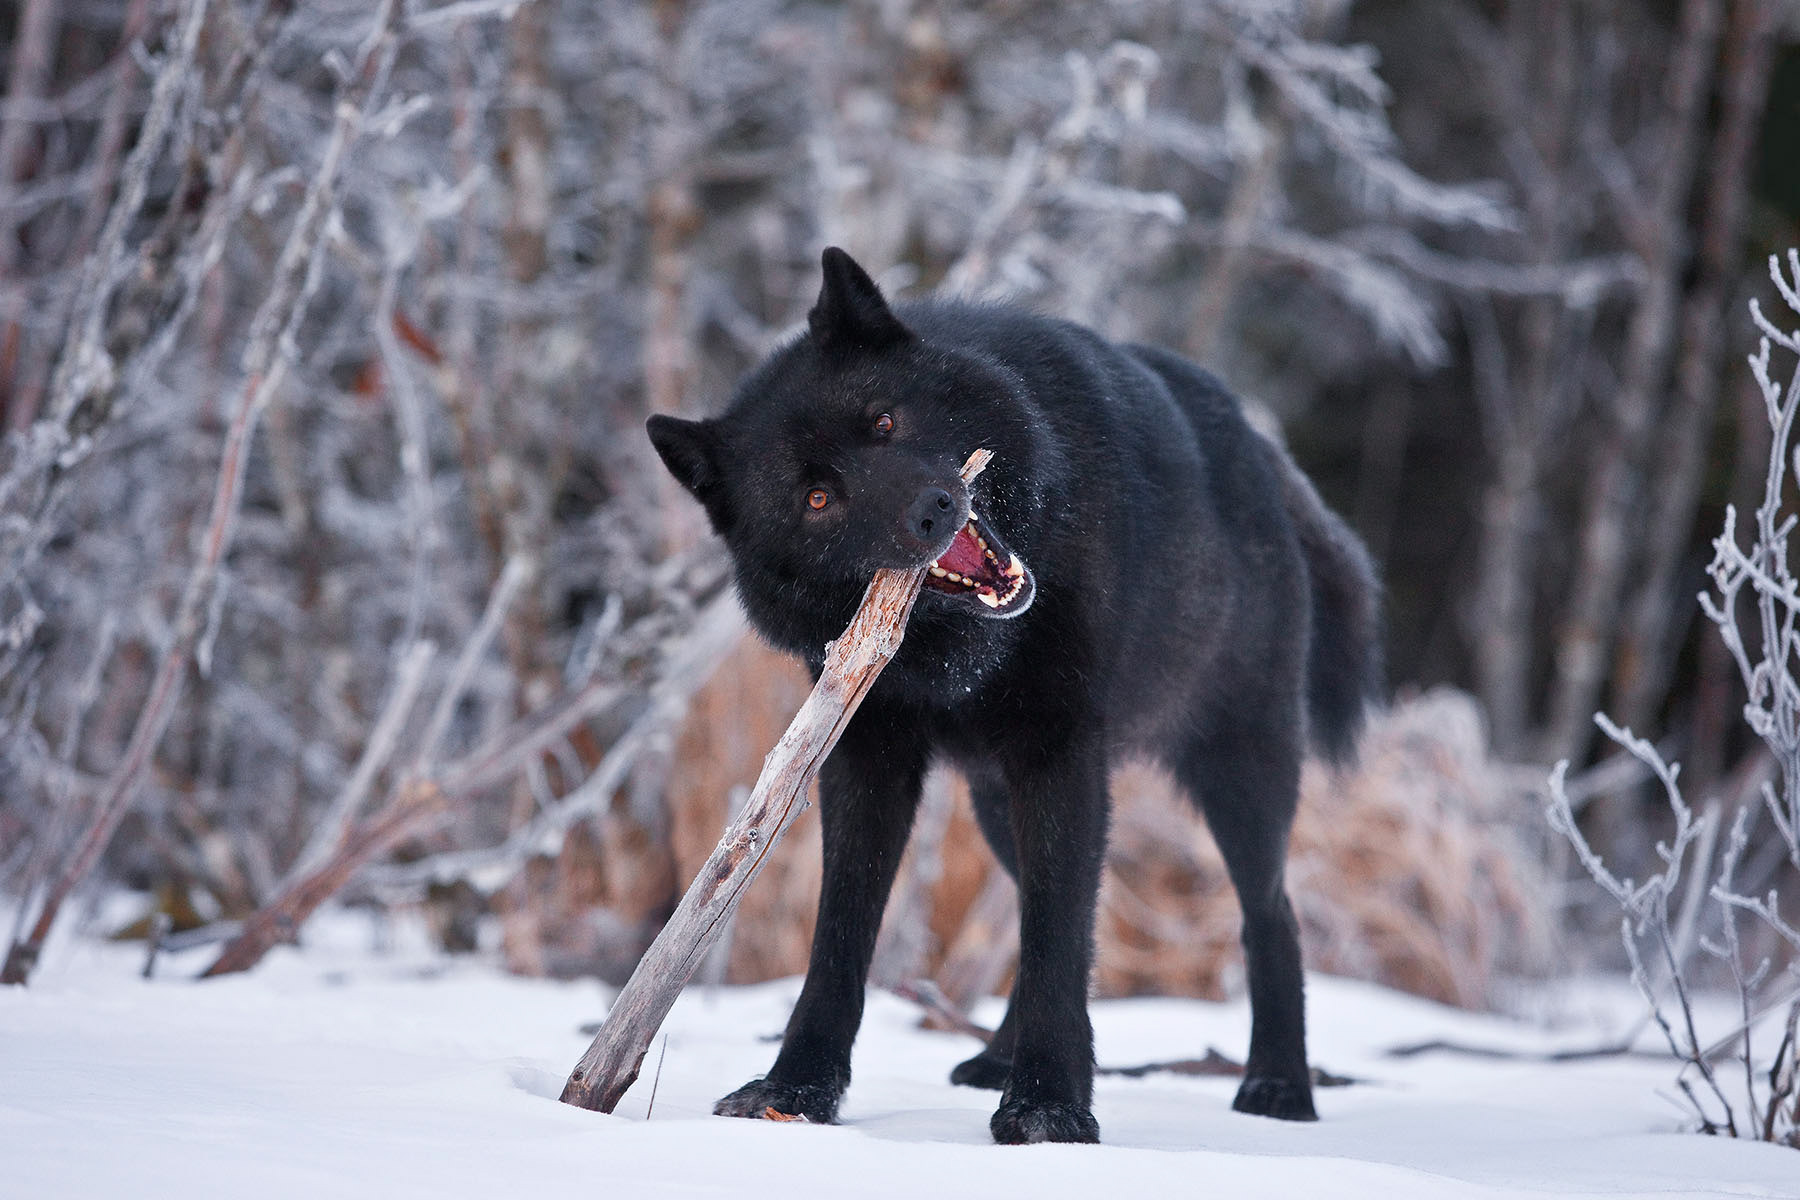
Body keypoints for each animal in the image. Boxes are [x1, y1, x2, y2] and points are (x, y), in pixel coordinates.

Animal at [648, 246, 1375, 1144]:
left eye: (884, 423)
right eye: (817, 499)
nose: (932, 510)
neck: (960, 663)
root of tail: (1260, 446)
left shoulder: (1057, 755)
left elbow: (1061, 939)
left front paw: (1048, 1107)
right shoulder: (866, 762)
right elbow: (842, 939)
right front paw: (797, 1091)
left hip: (1239, 776)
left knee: (1271, 916)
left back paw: (1279, 1087)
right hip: (999, 804)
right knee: (1043, 902)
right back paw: (996, 1059)